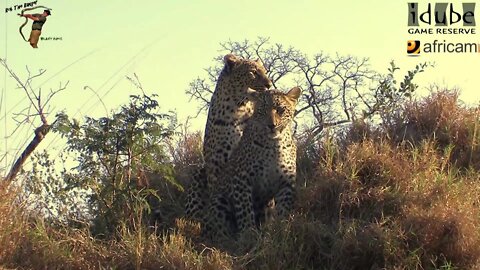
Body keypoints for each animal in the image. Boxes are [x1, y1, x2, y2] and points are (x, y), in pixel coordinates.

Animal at [185, 53, 274, 221]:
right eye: (253, 72)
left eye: (265, 71)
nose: (269, 85)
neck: (238, 109)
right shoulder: (217, 160)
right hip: (199, 174)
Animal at [204, 87, 302, 239]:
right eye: (262, 111)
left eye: (280, 110)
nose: (271, 125)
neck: (275, 144)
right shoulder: (242, 180)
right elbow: (245, 211)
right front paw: (248, 234)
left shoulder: (286, 183)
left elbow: (283, 210)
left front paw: (280, 230)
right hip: (219, 201)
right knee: (221, 231)